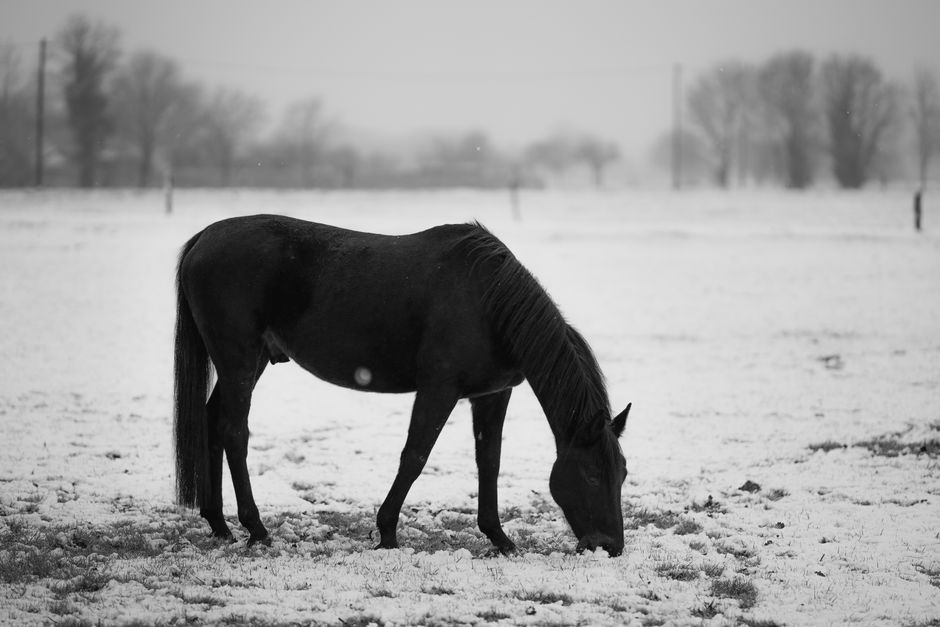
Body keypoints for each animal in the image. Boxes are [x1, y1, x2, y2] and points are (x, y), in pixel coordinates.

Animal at [174, 215, 631, 555]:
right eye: (591, 475)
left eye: (623, 473)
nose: (610, 546)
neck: (488, 303)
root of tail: (203, 239)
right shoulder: (439, 389)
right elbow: (414, 457)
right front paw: (388, 532)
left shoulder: (492, 395)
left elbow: (490, 463)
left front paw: (499, 538)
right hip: (238, 360)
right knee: (234, 432)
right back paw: (256, 528)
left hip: (247, 364)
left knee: (213, 422)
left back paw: (219, 524)